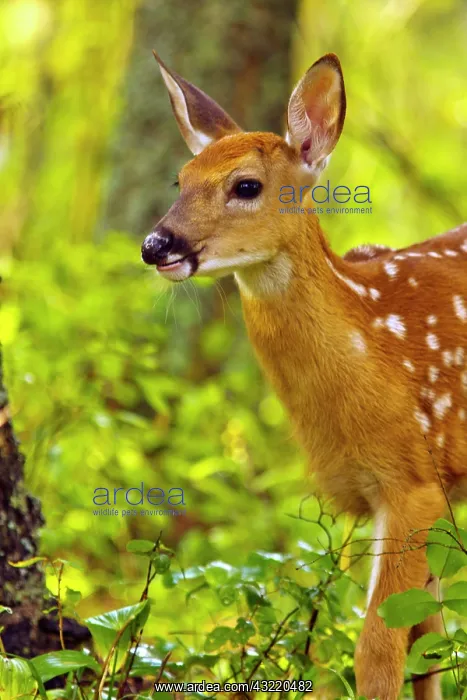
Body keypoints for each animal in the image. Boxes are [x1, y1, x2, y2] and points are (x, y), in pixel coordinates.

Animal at [140, 51, 467, 700]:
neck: (374, 348)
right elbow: (428, 644)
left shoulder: (413, 481)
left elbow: (379, 651)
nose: (155, 244)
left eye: (246, 185)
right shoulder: (421, 491)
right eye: (180, 180)